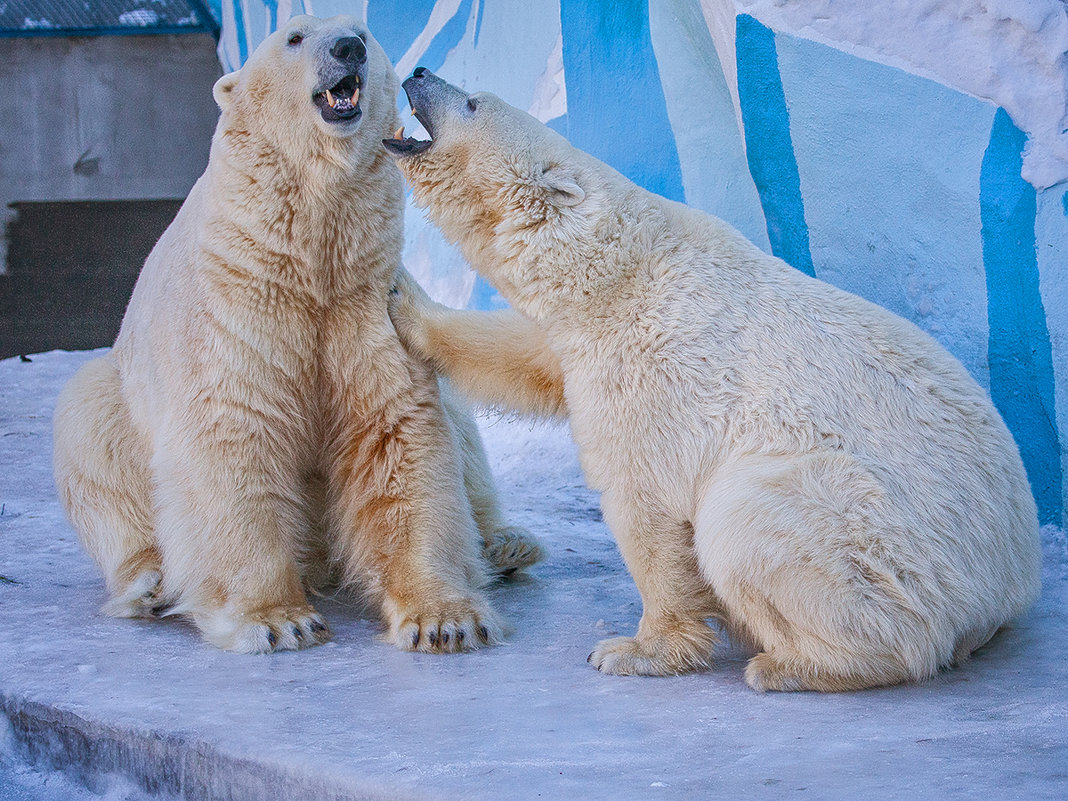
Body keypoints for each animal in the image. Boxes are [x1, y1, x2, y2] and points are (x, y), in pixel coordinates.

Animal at [52, 20, 542, 657]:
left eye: (363, 32)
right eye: (294, 37)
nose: (347, 48)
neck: (307, 258)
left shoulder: (367, 304)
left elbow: (395, 431)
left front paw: (446, 618)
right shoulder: (238, 311)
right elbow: (233, 434)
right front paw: (278, 620)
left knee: (464, 431)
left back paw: (505, 544)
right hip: (116, 397)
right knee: (90, 432)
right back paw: (150, 582)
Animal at [384, 68, 1042, 692]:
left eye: (474, 102)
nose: (418, 71)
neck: (619, 267)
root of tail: (1008, 585)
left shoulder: (652, 364)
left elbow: (647, 501)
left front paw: (638, 650)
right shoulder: (581, 337)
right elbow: (526, 357)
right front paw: (401, 297)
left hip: (887, 542)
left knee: (752, 520)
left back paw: (795, 664)